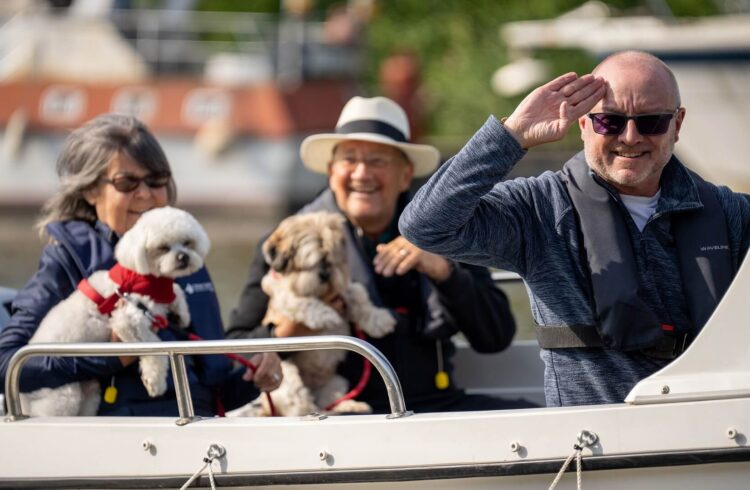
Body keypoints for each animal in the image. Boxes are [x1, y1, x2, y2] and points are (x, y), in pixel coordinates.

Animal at [22, 207, 210, 418]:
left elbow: (176, 291)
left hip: (90, 393)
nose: (183, 257)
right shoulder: (127, 320)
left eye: (187, 243)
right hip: (61, 397)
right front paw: (155, 381)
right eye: (163, 248)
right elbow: (155, 348)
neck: (142, 277)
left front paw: (182, 314)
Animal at [229, 211, 396, 418]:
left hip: (336, 381)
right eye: (310, 262)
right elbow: (304, 303)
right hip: (286, 377)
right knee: (301, 405)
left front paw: (379, 320)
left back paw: (348, 406)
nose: (325, 274)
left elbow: (359, 296)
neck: (321, 293)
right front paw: (326, 315)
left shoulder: (344, 289)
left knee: (329, 400)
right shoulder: (285, 297)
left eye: (330, 258)